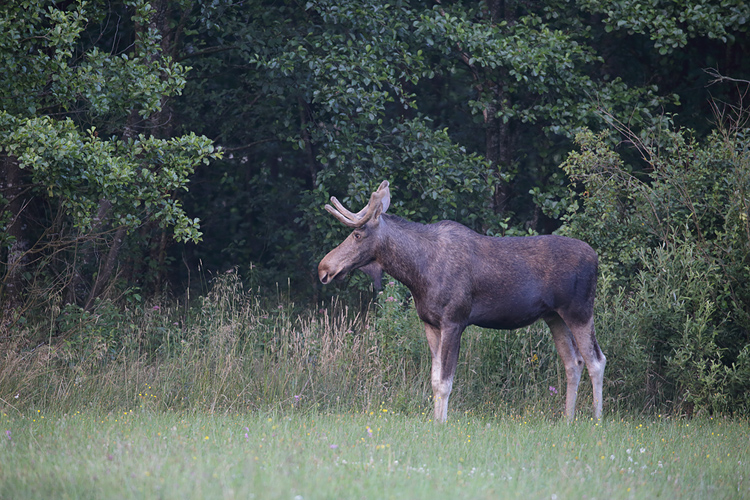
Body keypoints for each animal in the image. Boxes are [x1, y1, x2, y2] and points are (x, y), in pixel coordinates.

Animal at [318, 180, 605, 422]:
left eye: (357, 235)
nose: (324, 267)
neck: (417, 274)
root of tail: (596, 258)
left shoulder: (455, 320)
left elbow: (446, 382)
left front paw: (442, 424)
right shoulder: (430, 324)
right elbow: (434, 381)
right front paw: (435, 422)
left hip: (579, 310)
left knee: (596, 361)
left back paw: (596, 420)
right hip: (554, 316)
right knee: (573, 363)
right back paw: (568, 420)